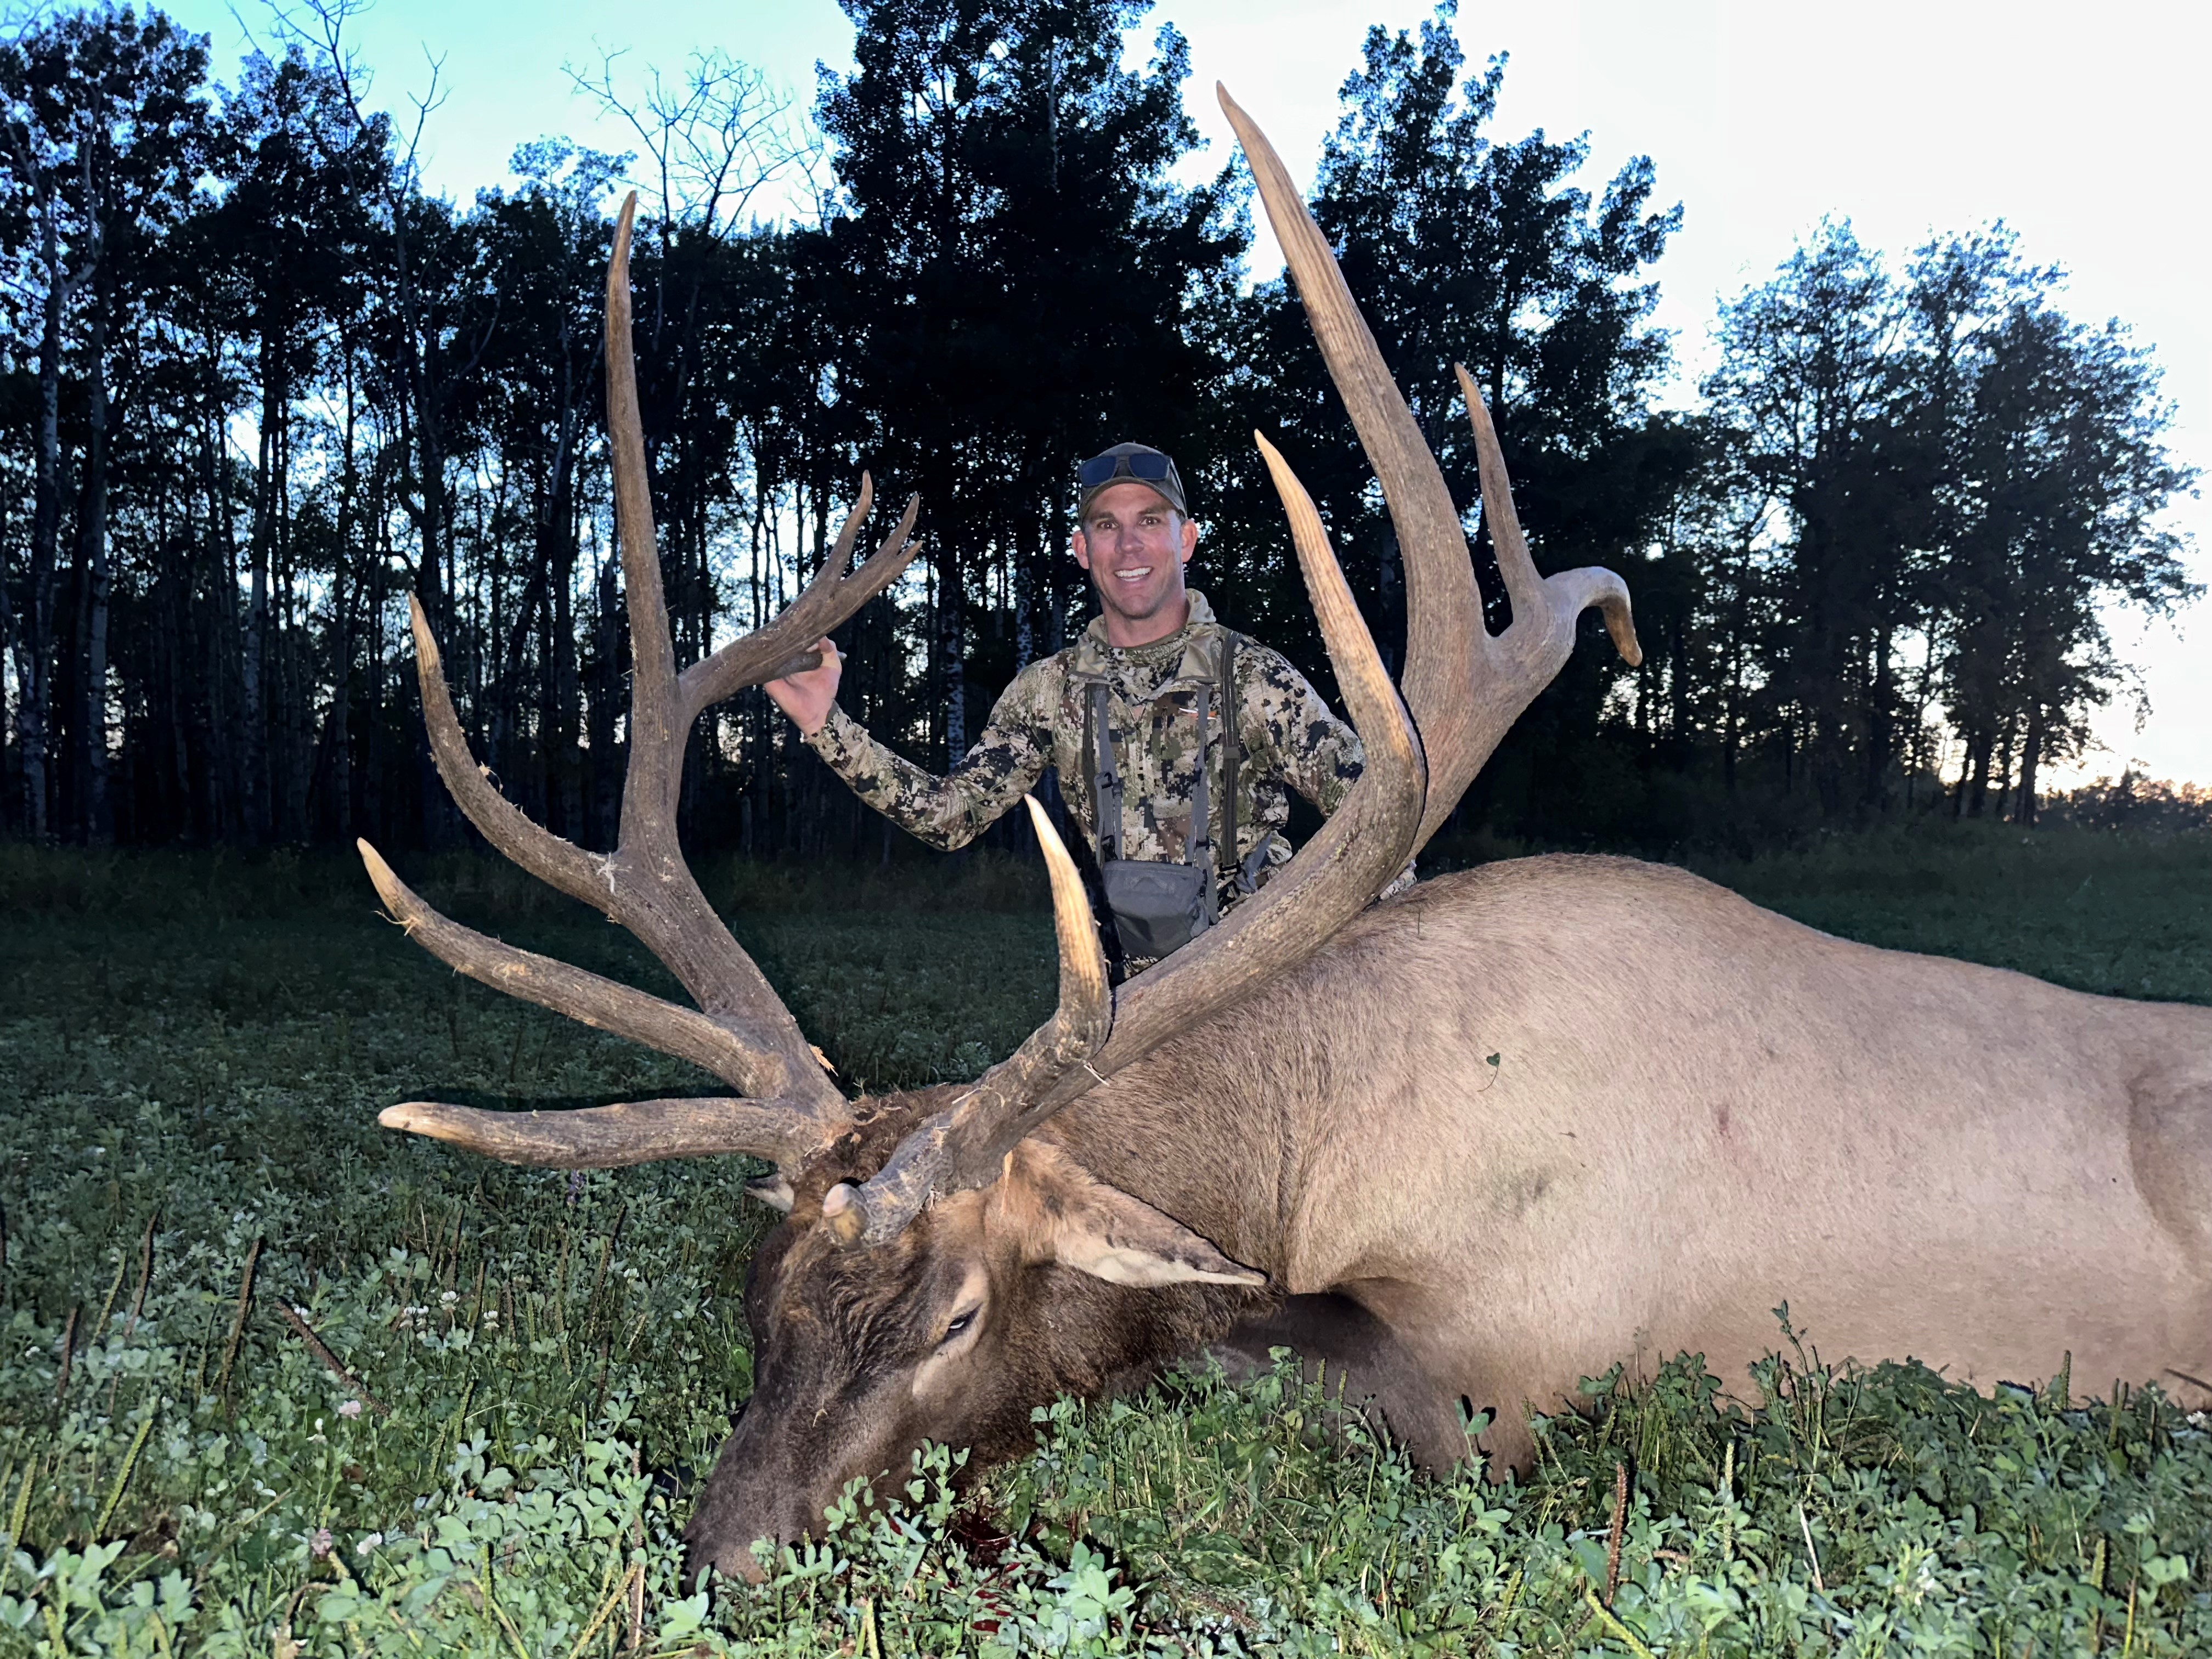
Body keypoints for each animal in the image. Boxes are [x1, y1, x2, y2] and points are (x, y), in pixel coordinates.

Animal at [355, 89, 2212, 1586]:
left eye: (955, 1315)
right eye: (757, 1299)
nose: (724, 1559)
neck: (1307, 1149)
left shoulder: (1507, 1373)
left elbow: (1224, 1366)